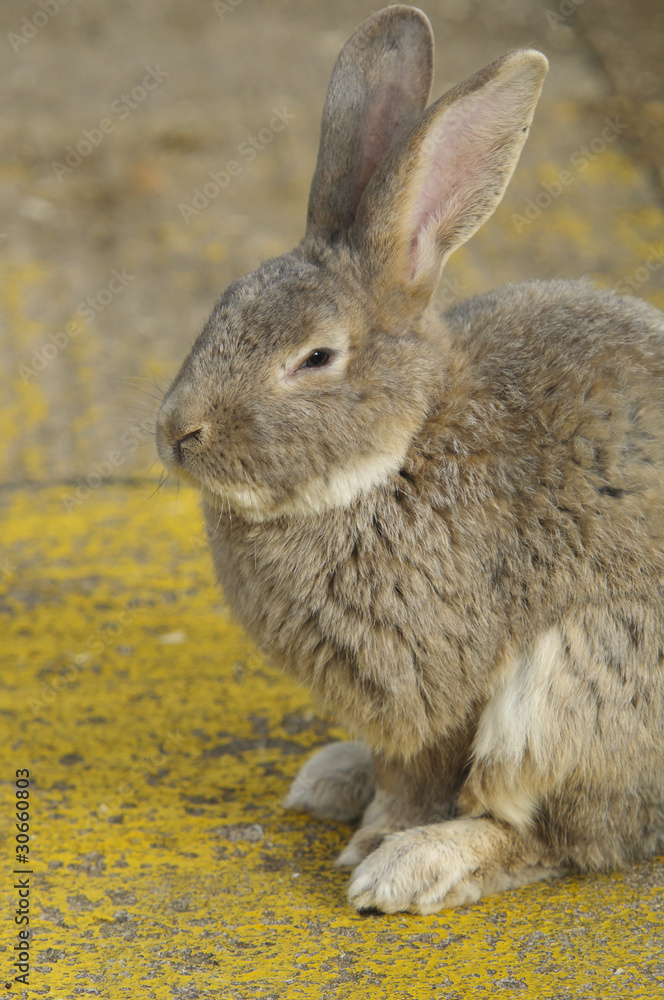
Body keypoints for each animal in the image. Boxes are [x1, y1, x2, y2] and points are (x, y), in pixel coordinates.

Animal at [156, 4, 664, 914]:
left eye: (316, 358)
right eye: (222, 307)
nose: (178, 433)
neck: (398, 450)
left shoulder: (434, 690)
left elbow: (425, 777)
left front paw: (378, 843)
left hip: (580, 683)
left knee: (565, 836)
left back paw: (413, 866)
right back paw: (333, 778)